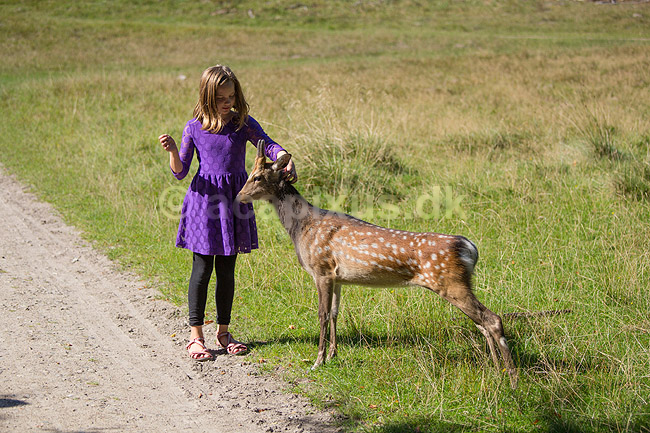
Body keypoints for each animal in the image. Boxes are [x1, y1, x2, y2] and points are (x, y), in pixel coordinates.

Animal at [237, 140, 518, 389]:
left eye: (257, 177)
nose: (239, 196)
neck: (302, 228)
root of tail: (470, 248)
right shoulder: (337, 277)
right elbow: (336, 313)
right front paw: (333, 355)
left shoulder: (321, 269)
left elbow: (322, 315)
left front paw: (317, 362)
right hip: (459, 284)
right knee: (482, 323)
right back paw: (497, 369)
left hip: (450, 282)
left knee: (492, 320)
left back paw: (512, 379)